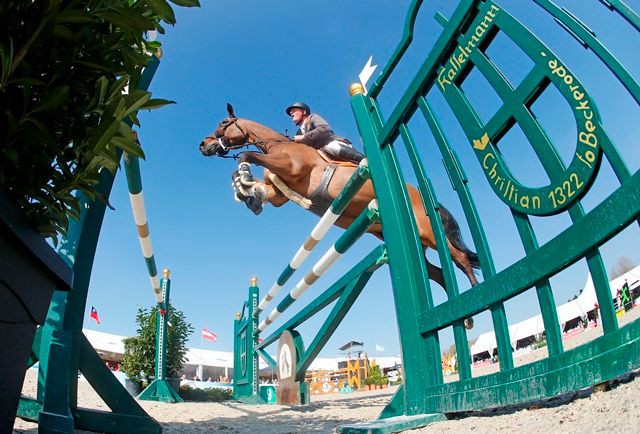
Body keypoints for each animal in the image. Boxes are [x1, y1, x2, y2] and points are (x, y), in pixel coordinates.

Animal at [200, 103, 480, 318]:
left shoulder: (291, 167)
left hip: (429, 232)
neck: (275, 145)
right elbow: (261, 188)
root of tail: (419, 194)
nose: (203, 145)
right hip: (412, 240)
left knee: (460, 258)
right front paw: (246, 193)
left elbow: (246, 156)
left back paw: (473, 298)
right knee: (437, 273)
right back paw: (459, 314)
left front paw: (244, 178)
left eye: (224, 122)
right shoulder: (279, 194)